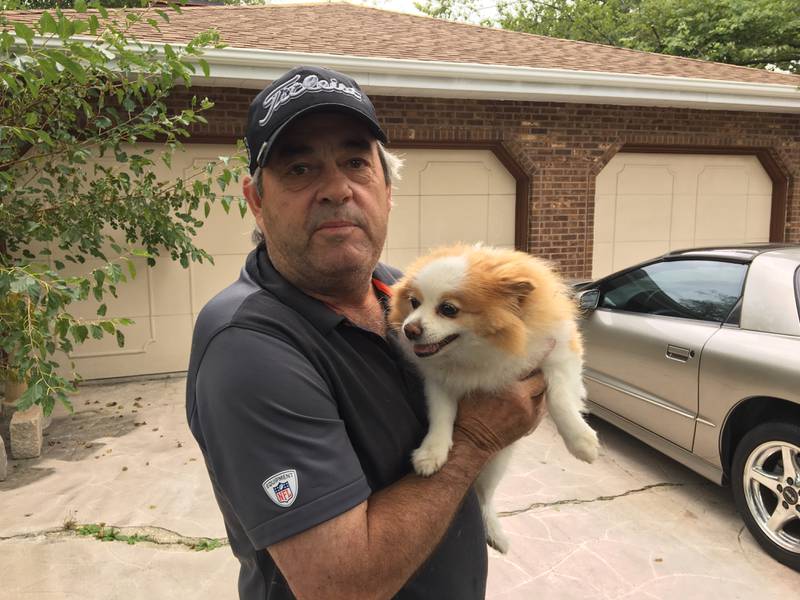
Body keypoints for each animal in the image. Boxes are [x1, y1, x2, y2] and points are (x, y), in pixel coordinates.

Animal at [388, 244, 600, 552]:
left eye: (448, 309)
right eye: (414, 303)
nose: (409, 329)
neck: (479, 353)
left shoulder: (558, 354)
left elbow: (560, 398)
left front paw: (581, 442)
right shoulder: (439, 382)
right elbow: (441, 416)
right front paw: (432, 453)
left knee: (485, 496)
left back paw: (494, 532)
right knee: (483, 495)